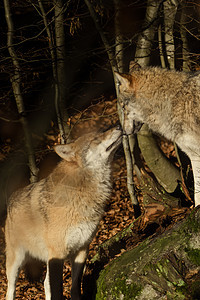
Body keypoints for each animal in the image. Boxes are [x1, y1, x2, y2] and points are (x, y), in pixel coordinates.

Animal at [4, 126, 122, 300]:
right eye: (95, 139)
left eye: (101, 132)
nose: (119, 127)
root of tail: (12, 197)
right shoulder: (57, 255)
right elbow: (58, 291)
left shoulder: (82, 250)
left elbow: (75, 286)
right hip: (16, 262)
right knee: (10, 290)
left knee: (45, 284)